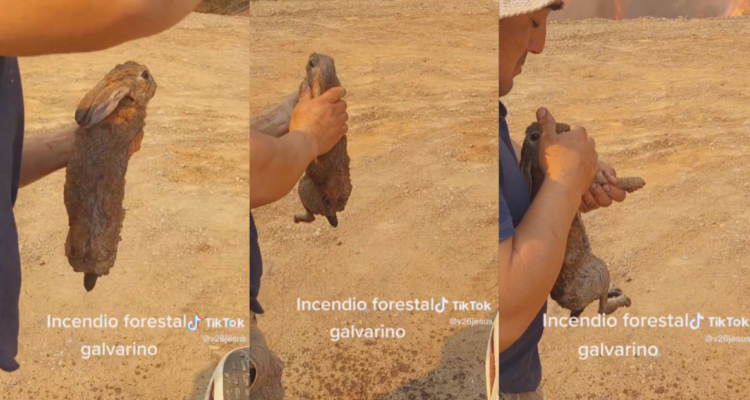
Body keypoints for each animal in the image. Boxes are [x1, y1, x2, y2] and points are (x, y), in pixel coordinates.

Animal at [520, 121, 645, 318]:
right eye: (534, 136)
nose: (566, 127)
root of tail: (570, 305)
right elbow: (610, 182)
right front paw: (638, 182)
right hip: (600, 268)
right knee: (602, 308)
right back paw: (623, 299)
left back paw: (615, 290)